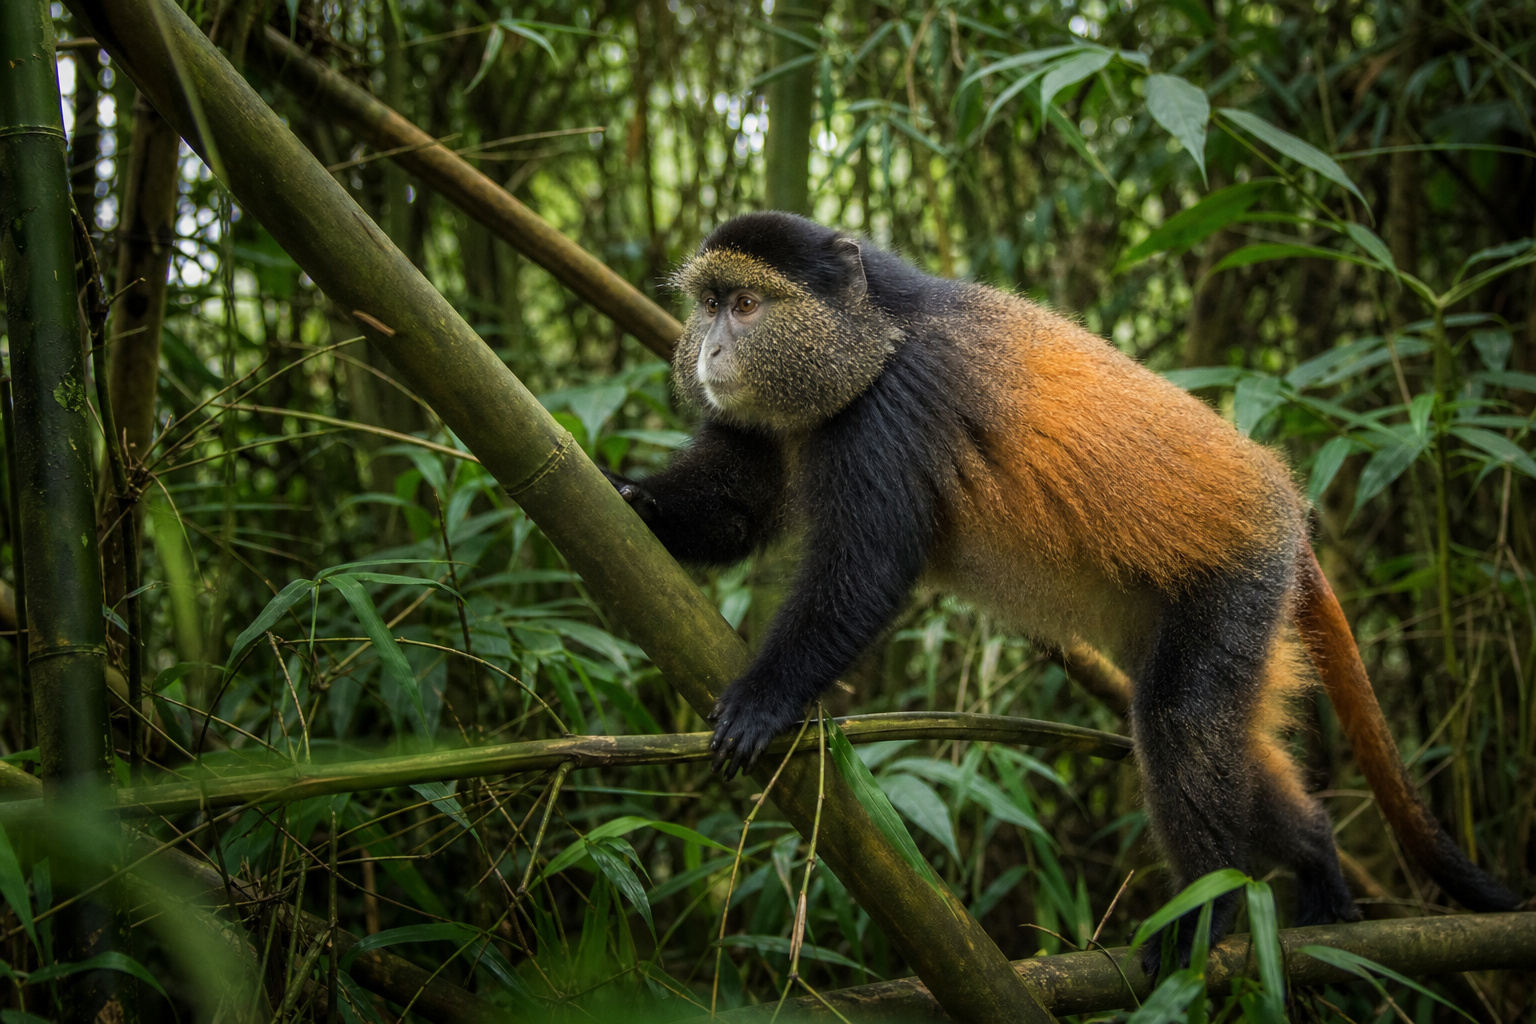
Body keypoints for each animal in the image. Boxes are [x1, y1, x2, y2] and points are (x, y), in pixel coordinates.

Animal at [603, 211, 1522, 966]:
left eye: (746, 305)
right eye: (708, 304)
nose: (710, 351)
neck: (874, 336)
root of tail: (1285, 504)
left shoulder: (892, 411)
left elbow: (864, 570)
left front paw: (764, 700)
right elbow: (738, 504)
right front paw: (620, 499)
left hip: (1240, 582)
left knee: (1182, 724)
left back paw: (1209, 916)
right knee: (1232, 747)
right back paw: (1320, 862)